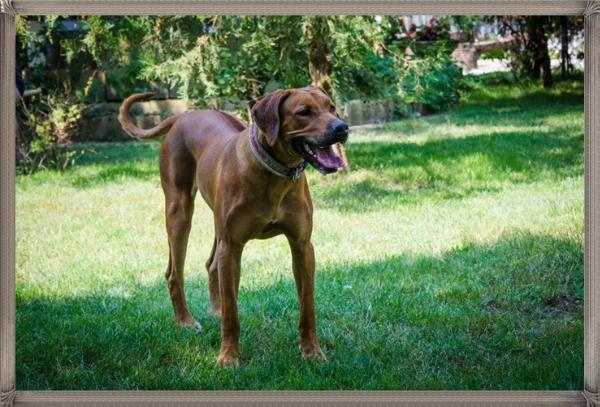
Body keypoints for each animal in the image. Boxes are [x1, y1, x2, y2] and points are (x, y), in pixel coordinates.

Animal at [119, 86, 350, 366]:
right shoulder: (232, 247)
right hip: (179, 212)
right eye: (304, 112)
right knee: (175, 273)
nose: (342, 127)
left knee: (212, 264)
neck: (275, 175)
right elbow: (232, 314)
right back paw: (185, 321)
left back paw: (214, 310)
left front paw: (312, 352)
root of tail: (184, 116)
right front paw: (228, 358)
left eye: (331, 108)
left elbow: (308, 308)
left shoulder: (302, 246)